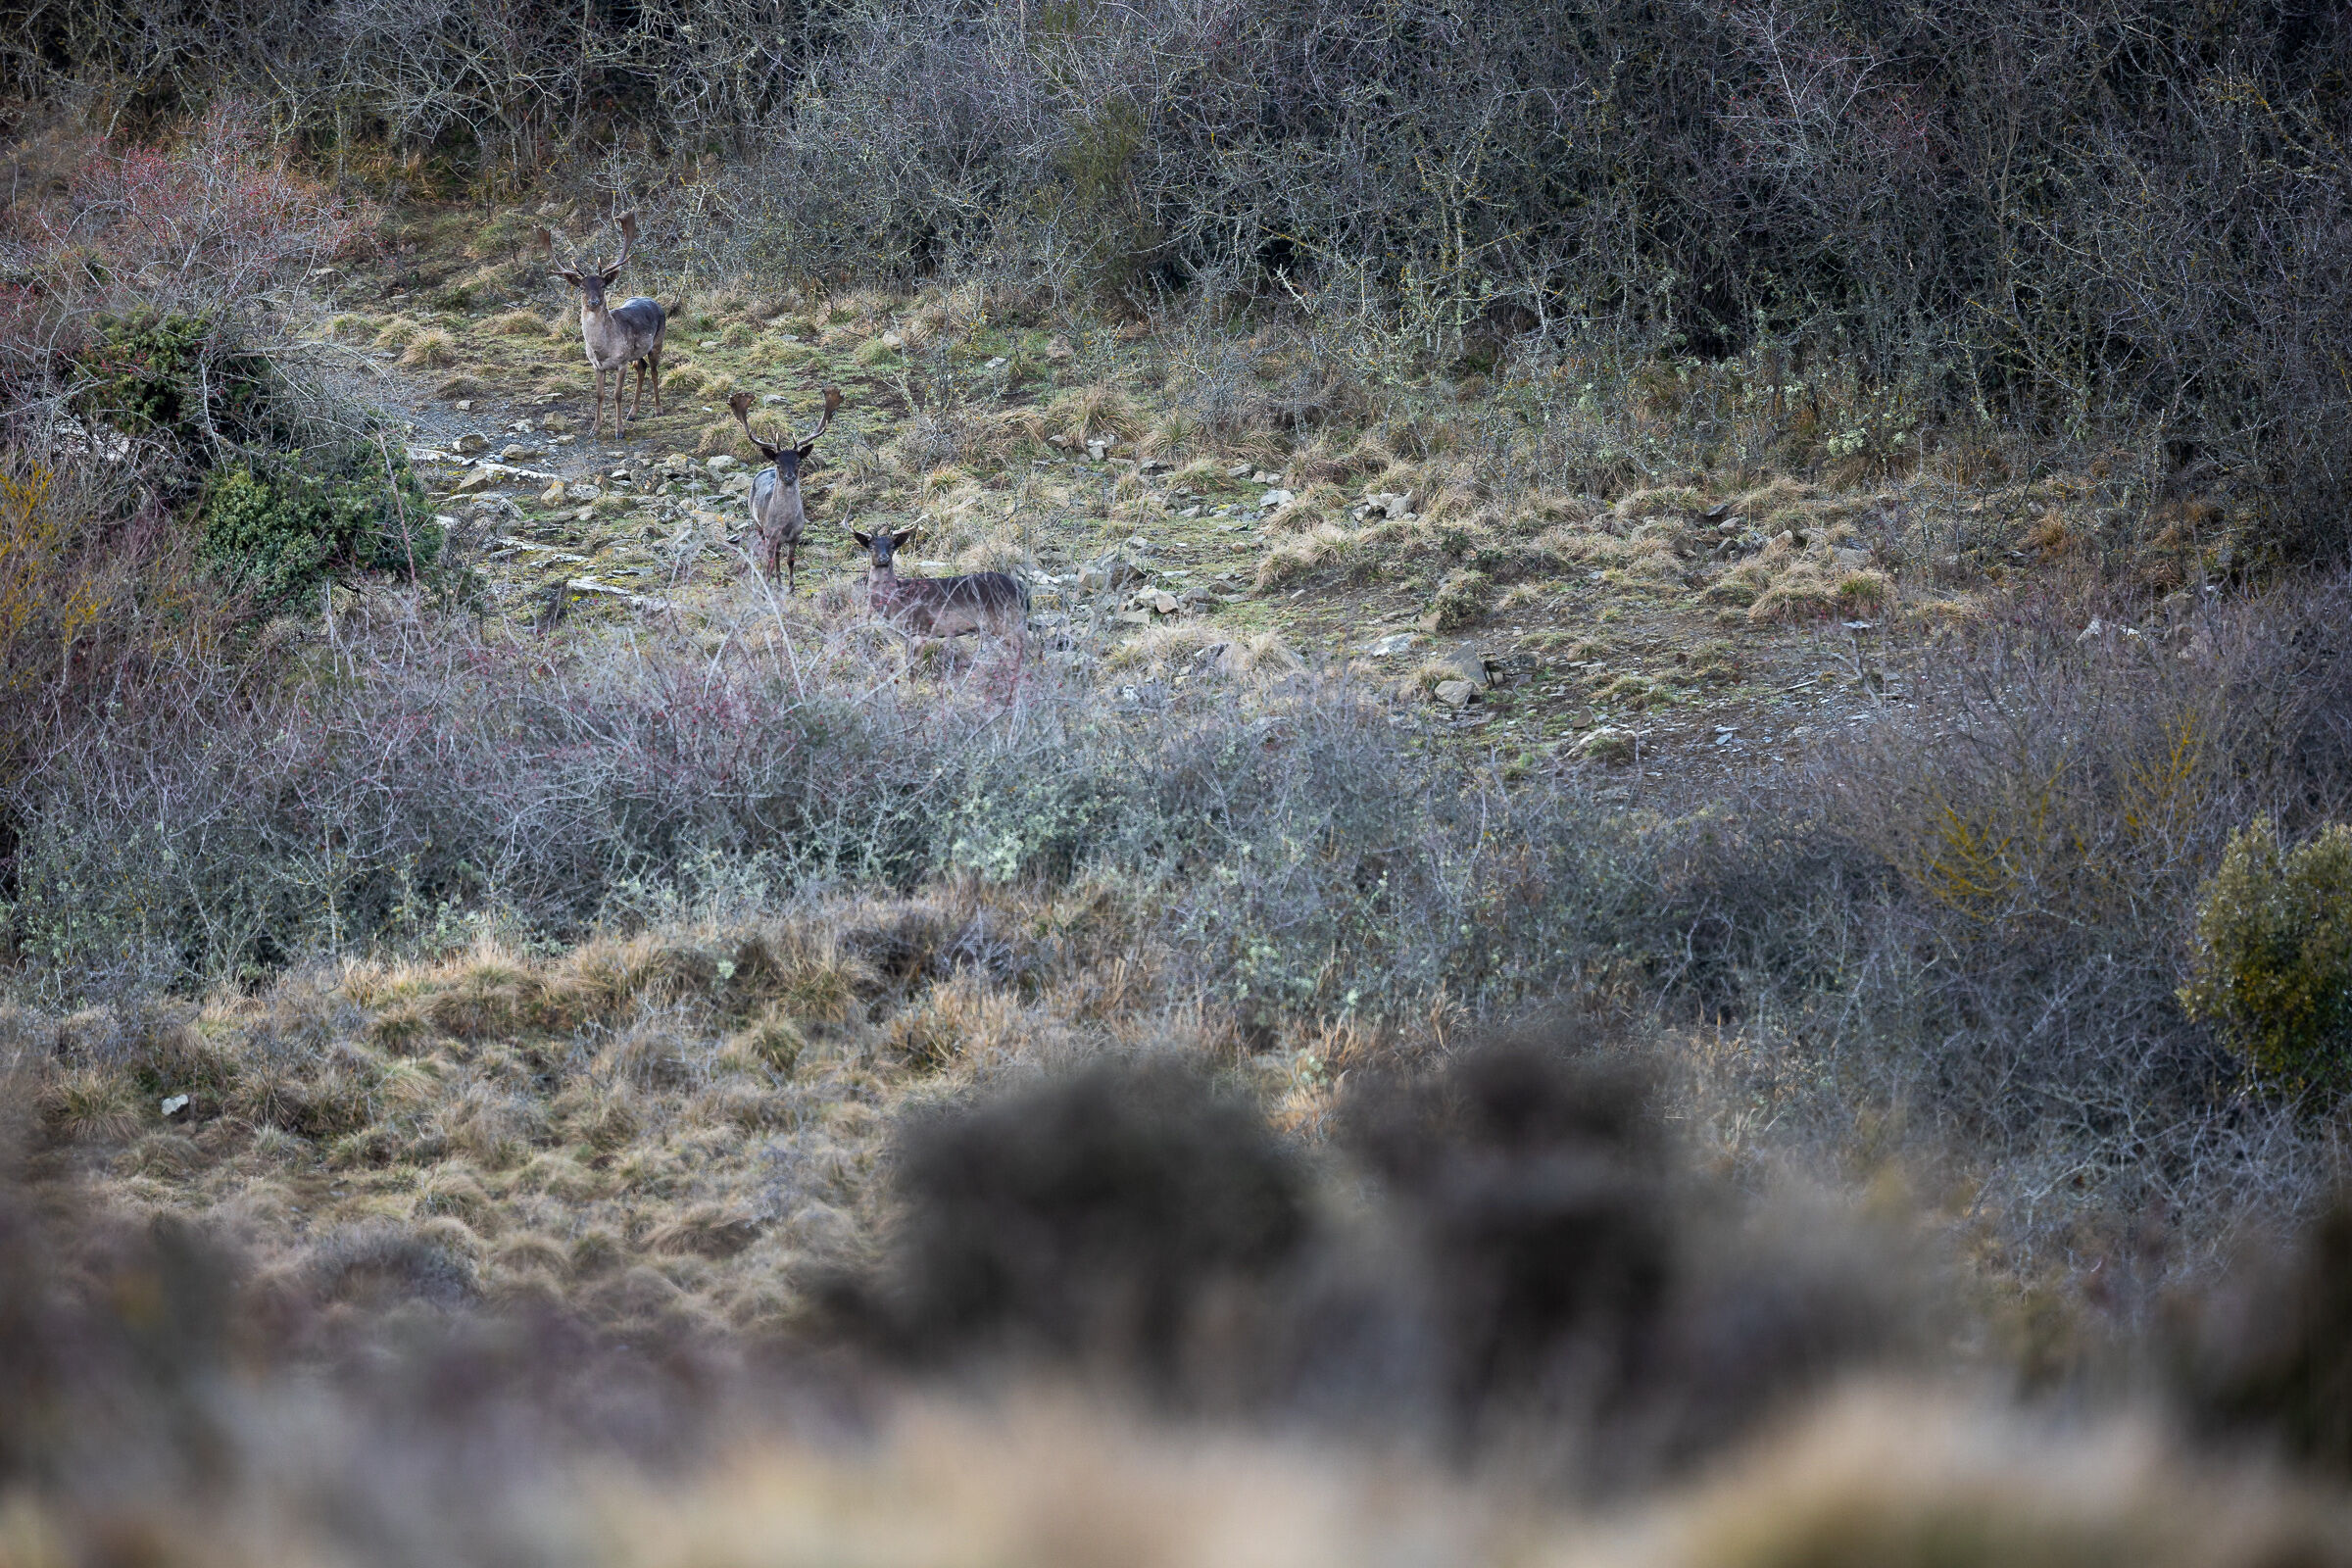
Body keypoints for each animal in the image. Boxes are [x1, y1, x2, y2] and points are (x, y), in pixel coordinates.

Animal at [538, 212, 666, 439]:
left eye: (603, 285)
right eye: (581, 287)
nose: (594, 302)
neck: (602, 349)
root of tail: (655, 301)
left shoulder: (622, 362)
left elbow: (617, 394)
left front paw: (619, 430)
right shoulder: (596, 365)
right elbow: (599, 394)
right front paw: (595, 428)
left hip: (657, 342)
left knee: (653, 370)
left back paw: (658, 410)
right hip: (636, 352)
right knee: (641, 367)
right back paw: (633, 413)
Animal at [728, 385, 841, 592]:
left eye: (798, 462)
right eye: (779, 463)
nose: (789, 476)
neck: (785, 524)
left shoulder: (797, 535)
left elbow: (790, 561)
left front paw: (791, 586)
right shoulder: (770, 534)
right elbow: (770, 561)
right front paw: (768, 582)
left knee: (779, 555)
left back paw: (780, 582)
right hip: (758, 524)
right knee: (771, 553)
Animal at [851, 525, 1030, 651]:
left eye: (892, 547)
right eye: (871, 547)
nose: (884, 557)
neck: (895, 600)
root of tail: (1022, 591)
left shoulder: (916, 628)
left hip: (1007, 620)